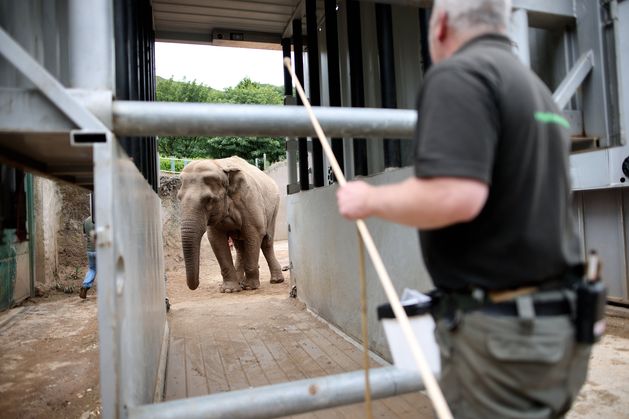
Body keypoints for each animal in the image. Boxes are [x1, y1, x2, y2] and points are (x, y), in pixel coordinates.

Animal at [177, 156, 284, 294]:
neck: (219, 166)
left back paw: (275, 280)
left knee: (266, 241)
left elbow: (254, 233)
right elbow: (216, 239)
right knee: (240, 245)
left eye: (209, 200)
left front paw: (250, 287)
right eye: (179, 198)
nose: (196, 285)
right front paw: (229, 290)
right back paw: (240, 282)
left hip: (274, 208)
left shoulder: (249, 199)